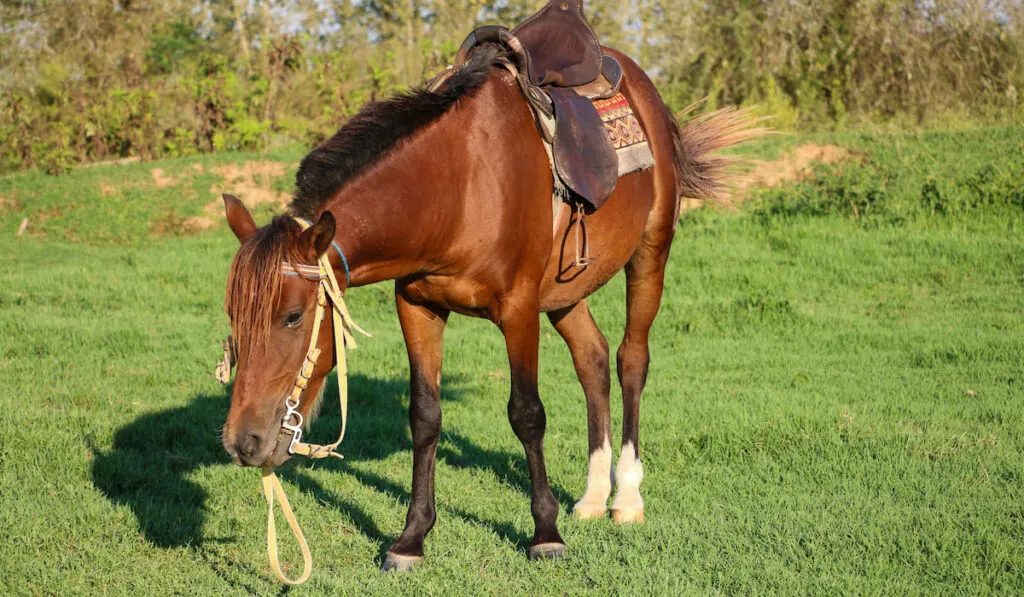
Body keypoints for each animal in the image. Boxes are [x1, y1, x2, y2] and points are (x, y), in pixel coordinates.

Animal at [218, 44, 761, 573]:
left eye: (292, 317)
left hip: (650, 253)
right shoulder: (416, 307)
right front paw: (411, 538)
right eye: (233, 317)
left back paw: (625, 496)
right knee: (592, 359)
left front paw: (545, 535)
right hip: (565, 293)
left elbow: (527, 414)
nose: (242, 443)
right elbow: (425, 417)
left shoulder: (518, 310)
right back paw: (592, 495)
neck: (457, 188)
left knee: (631, 360)